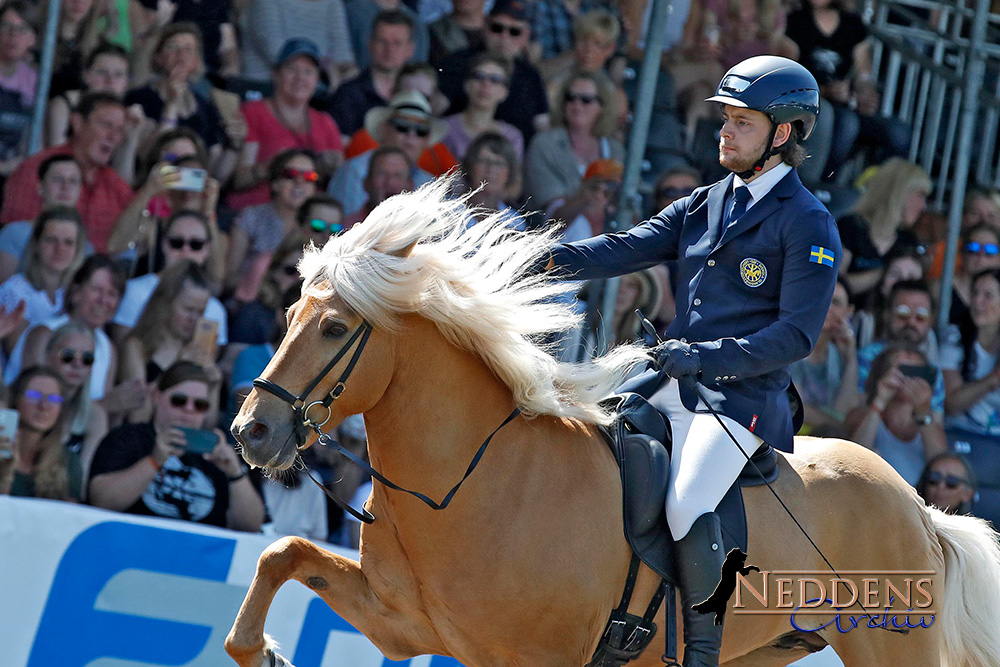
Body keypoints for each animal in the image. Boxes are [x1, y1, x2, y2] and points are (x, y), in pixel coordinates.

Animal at [227, 181, 1000, 667]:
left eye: (333, 328)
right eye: (289, 314)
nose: (251, 432)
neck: (470, 480)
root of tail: (919, 507)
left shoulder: (537, 658)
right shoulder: (403, 624)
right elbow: (281, 552)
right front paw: (260, 651)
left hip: (891, 641)